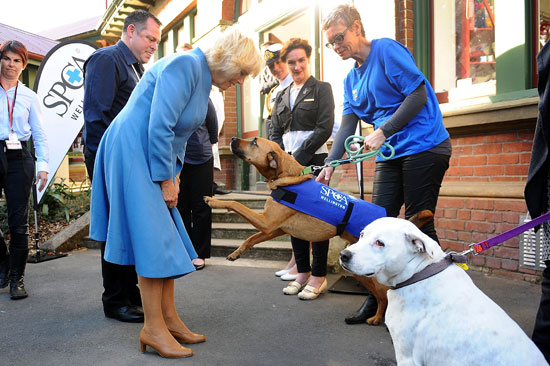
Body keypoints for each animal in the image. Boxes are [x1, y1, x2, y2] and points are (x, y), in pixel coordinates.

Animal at [205, 138, 434, 326]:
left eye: (253, 142)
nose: (232, 139)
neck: (287, 177)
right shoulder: (273, 228)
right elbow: (251, 238)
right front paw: (236, 253)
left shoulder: (266, 222)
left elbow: (235, 203)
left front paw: (213, 201)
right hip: (359, 270)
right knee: (380, 295)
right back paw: (376, 318)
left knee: (384, 294)